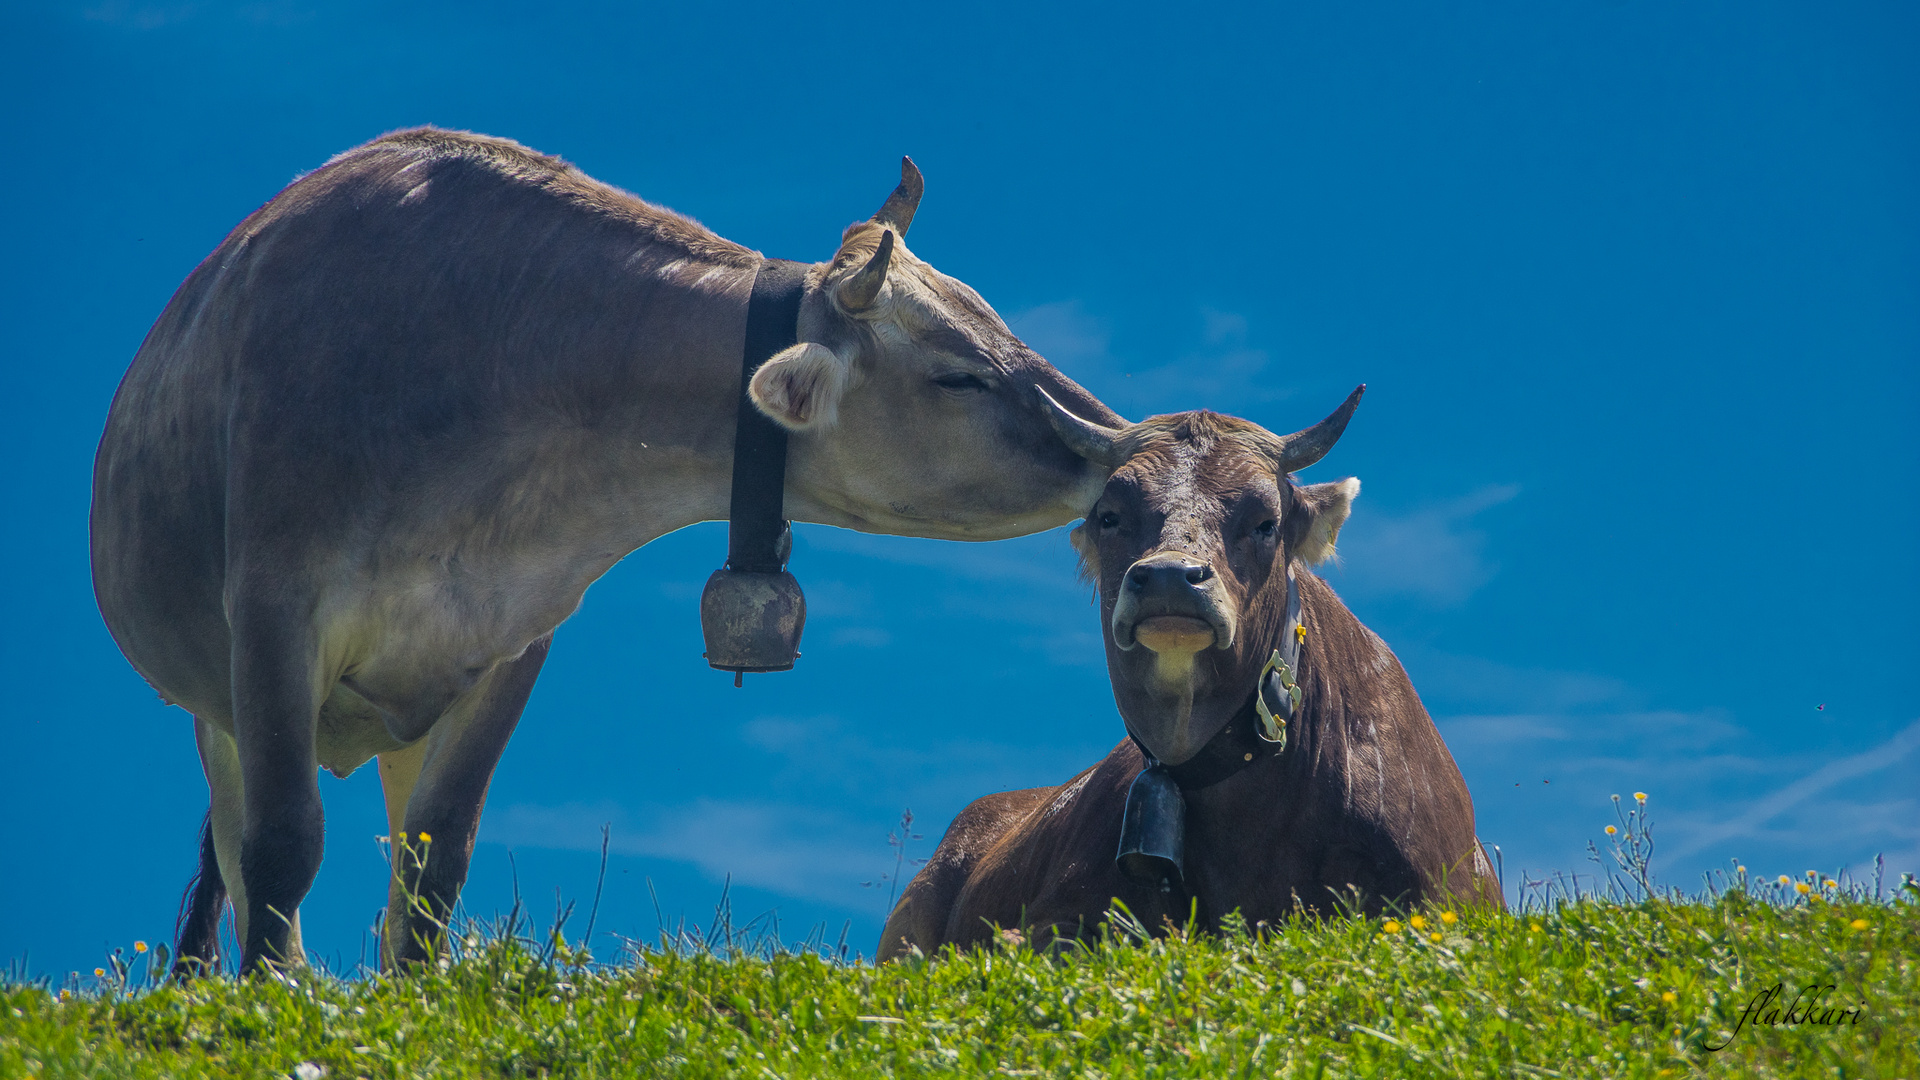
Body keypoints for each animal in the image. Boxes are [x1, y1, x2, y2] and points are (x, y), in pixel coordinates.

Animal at [93, 127, 1121, 976]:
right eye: (959, 376)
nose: (1114, 439)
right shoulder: (275, 612)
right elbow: (281, 846)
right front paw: (269, 1005)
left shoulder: (509, 638)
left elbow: (438, 860)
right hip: (217, 703)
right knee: (244, 854)